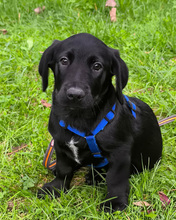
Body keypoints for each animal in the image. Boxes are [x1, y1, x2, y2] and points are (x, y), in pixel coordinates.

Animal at [37, 33, 163, 212]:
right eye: (64, 60)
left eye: (97, 66)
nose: (75, 94)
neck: (78, 117)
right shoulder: (60, 145)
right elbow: (64, 169)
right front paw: (57, 188)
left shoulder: (120, 153)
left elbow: (115, 179)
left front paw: (114, 202)